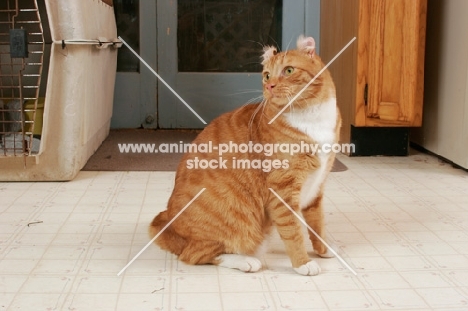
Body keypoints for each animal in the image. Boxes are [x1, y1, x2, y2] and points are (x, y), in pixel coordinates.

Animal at [149, 35, 340, 276]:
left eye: (288, 71)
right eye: (266, 75)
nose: (269, 85)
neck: (310, 117)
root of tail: (170, 226)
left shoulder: (317, 188)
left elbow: (317, 225)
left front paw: (323, 250)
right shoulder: (283, 192)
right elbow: (293, 231)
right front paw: (302, 263)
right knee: (195, 255)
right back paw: (246, 261)